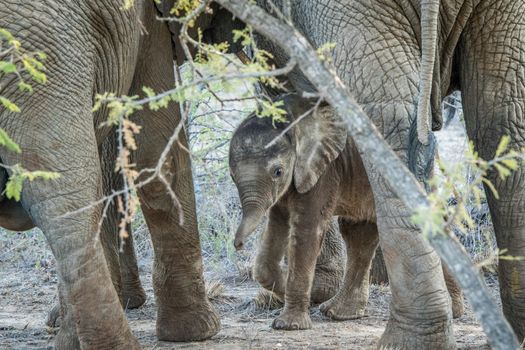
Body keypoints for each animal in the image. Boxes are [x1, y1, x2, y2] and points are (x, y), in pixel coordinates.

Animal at [229, 94, 462, 330]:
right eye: (231, 176)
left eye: (278, 171)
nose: (237, 245)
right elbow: (277, 226)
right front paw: (289, 286)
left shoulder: (324, 170)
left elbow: (307, 230)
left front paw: (289, 325)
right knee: (358, 233)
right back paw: (338, 313)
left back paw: (454, 311)